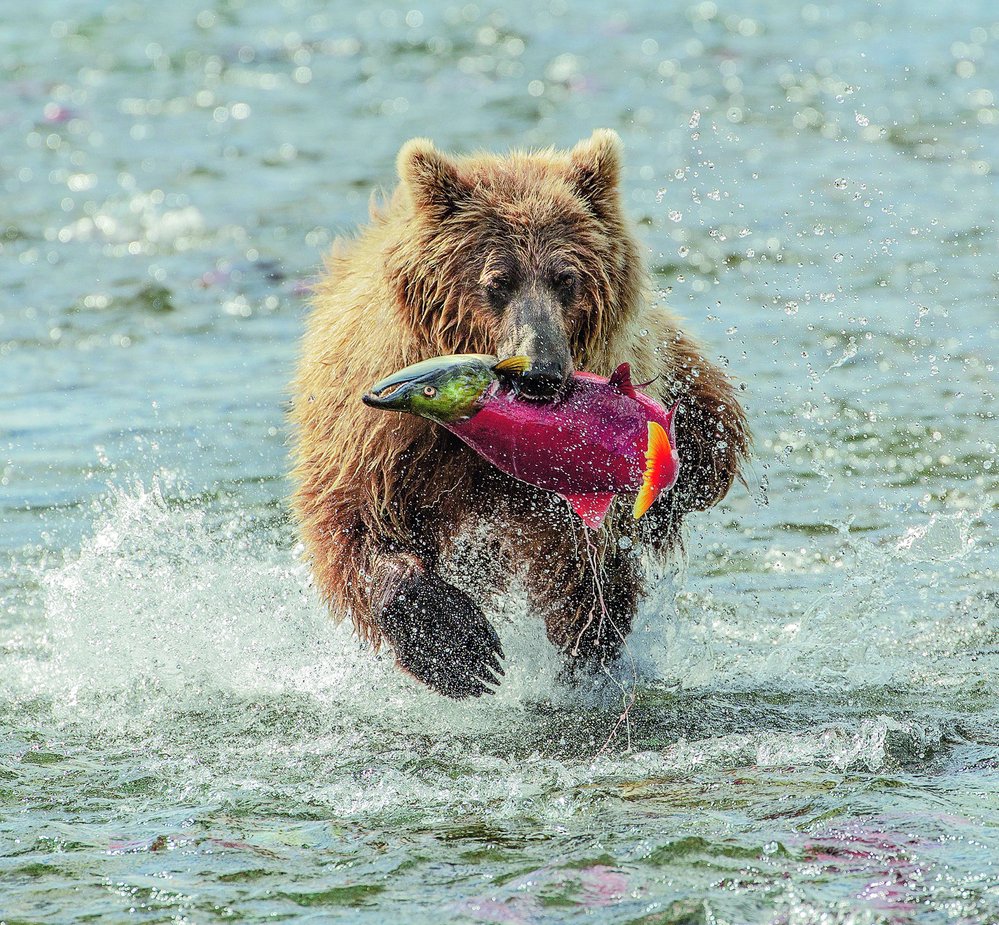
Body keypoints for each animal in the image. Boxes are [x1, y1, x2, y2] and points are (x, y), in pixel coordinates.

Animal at [290, 128, 752, 692]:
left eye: (566, 278)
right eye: (498, 280)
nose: (540, 372)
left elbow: (580, 556)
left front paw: (585, 634)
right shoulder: (382, 440)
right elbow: (355, 521)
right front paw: (458, 650)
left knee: (707, 450)